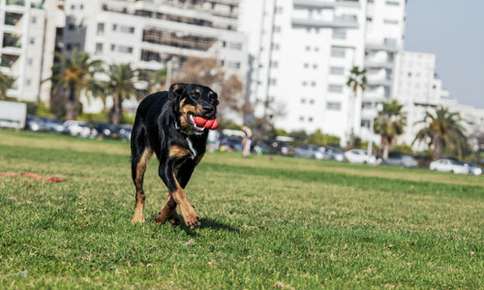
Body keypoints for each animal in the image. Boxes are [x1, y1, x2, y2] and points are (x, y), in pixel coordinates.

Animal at [130, 82, 218, 228]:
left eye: (213, 98)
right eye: (194, 95)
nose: (209, 109)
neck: (188, 134)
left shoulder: (189, 167)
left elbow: (174, 195)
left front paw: (162, 217)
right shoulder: (165, 166)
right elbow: (178, 191)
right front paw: (190, 216)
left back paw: (173, 216)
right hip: (138, 160)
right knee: (140, 192)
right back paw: (137, 218)